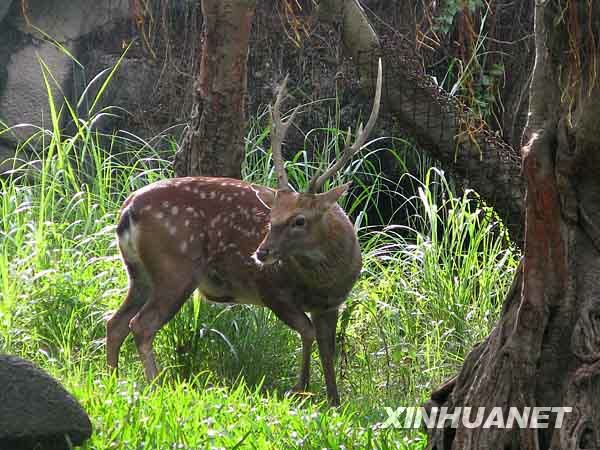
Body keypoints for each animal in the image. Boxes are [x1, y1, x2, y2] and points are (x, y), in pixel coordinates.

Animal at [105, 61, 382, 406]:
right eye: (271, 218)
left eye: (299, 220)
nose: (261, 253)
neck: (322, 279)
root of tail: (127, 210)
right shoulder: (271, 289)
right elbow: (306, 333)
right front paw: (300, 388)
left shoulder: (331, 304)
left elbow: (328, 350)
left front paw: (334, 400)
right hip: (175, 268)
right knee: (141, 325)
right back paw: (155, 385)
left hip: (138, 273)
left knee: (115, 323)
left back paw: (112, 381)